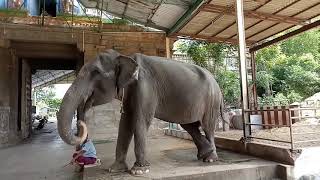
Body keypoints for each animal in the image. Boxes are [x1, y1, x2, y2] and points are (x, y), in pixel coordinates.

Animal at [57, 48, 224, 174]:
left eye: (96, 72)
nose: (79, 122)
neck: (124, 56)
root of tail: (217, 84)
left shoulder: (145, 87)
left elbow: (140, 120)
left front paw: (138, 171)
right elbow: (125, 123)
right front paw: (115, 169)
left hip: (211, 101)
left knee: (207, 127)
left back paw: (210, 158)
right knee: (190, 126)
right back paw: (203, 154)